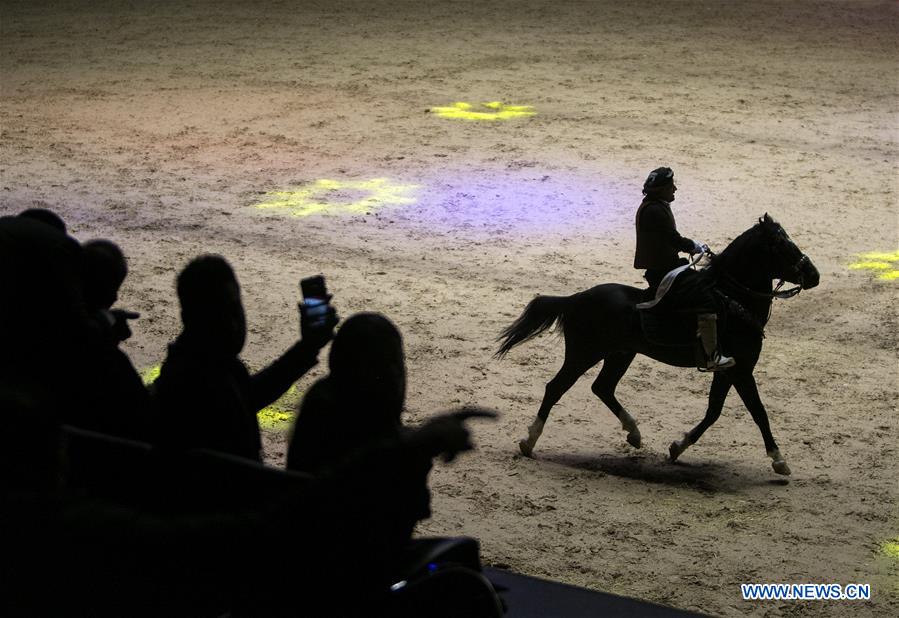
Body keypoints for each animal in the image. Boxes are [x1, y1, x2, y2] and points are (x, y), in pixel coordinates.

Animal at [496, 214, 820, 474]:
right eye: (781, 245)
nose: (814, 275)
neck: (733, 299)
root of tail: (575, 298)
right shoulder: (740, 370)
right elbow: (758, 412)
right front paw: (779, 460)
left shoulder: (729, 370)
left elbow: (713, 412)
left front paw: (677, 447)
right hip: (583, 354)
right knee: (556, 388)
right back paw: (529, 441)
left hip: (620, 354)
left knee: (602, 387)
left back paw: (634, 433)